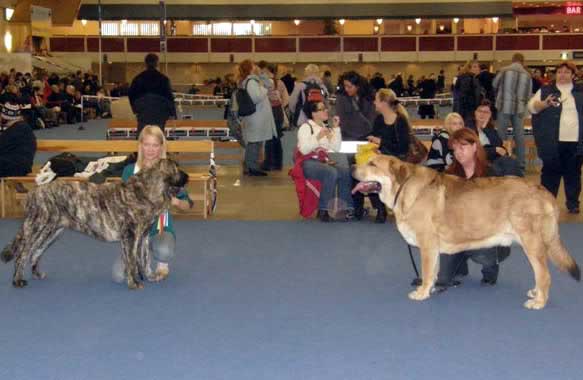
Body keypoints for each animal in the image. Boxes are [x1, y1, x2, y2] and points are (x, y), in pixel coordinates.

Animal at [0, 159, 187, 290]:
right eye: (177, 169)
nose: (187, 177)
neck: (144, 191)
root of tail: (34, 193)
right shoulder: (130, 236)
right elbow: (132, 261)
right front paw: (133, 282)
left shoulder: (143, 236)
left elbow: (144, 259)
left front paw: (148, 276)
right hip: (37, 227)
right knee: (23, 254)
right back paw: (17, 280)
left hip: (52, 232)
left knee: (35, 253)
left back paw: (37, 274)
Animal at [354, 154, 580, 308]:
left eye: (372, 164)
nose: (353, 168)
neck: (403, 188)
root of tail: (542, 190)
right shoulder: (433, 249)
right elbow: (434, 272)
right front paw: (430, 289)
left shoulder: (427, 244)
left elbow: (426, 272)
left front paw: (422, 293)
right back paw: (536, 293)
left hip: (531, 243)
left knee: (544, 275)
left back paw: (539, 302)